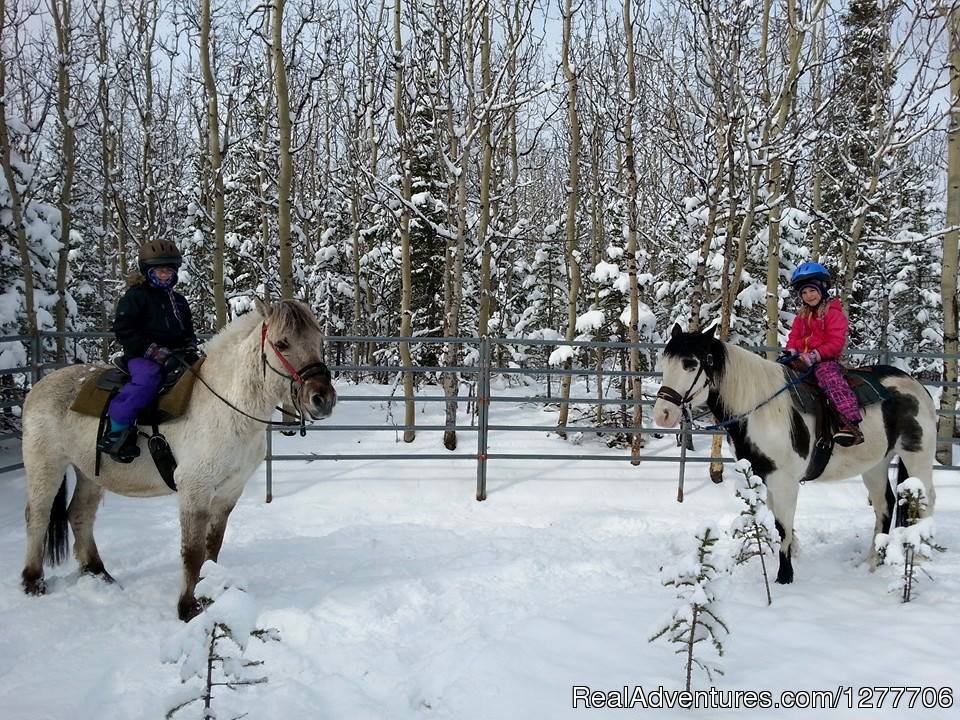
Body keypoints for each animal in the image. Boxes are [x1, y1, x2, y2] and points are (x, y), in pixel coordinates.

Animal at [19, 298, 338, 620]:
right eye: (282, 343)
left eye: (319, 341)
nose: (322, 399)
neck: (227, 406)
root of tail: (39, 386)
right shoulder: (193, 489)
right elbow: (193, 552)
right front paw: (187, 607)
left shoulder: (229, 491)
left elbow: (213, 546)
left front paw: (212, 591)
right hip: (46, 465)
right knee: (38, 515)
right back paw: (33, 581)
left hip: (90, 473)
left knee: (80, 514)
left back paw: (98, 572)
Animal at [652, 324, 936, 584]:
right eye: (665, 363)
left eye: (690, 364)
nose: (662, 414)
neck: (760, 411)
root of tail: (917, 387)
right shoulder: (764, 477)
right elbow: (776, 523)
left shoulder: (785, 481)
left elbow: (782, 527)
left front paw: (784, 575)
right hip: (876, 464)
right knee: (884, 504)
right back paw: (874, 560)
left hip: (917, 457)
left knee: (926, 499)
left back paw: (921, 554)